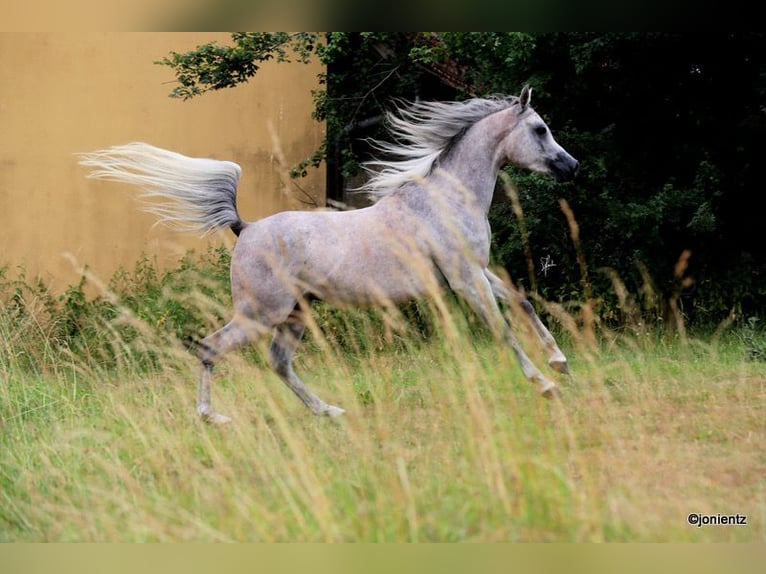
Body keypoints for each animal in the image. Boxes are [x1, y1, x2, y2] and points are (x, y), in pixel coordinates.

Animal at [78, 85, 578, 424]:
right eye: (540, 129)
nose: (571, 166)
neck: (447, 199)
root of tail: (245, 228)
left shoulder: (475, 271)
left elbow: (522, 302)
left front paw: (559, 362)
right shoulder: (463, 278)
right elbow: (502, 329)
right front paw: (547, 385)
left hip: (295, 314)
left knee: (278, 362)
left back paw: (329, 411)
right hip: (260, 313)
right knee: (210, 347)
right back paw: (212, 418)